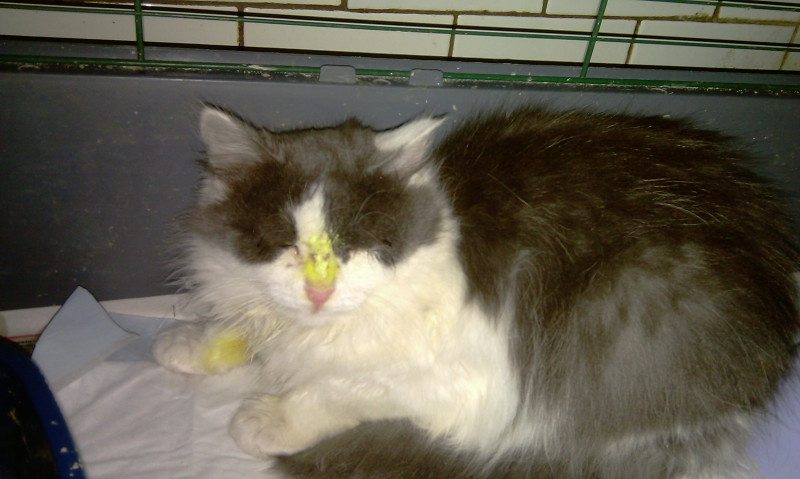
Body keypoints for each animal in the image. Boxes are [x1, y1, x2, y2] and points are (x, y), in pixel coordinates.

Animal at [153, 104, 800, 479]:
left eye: (354, 244)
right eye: (283, 242)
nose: (318, 292)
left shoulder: (475, 384)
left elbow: (346, 387)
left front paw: (272, 416)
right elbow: (249, 326)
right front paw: (190, 341)